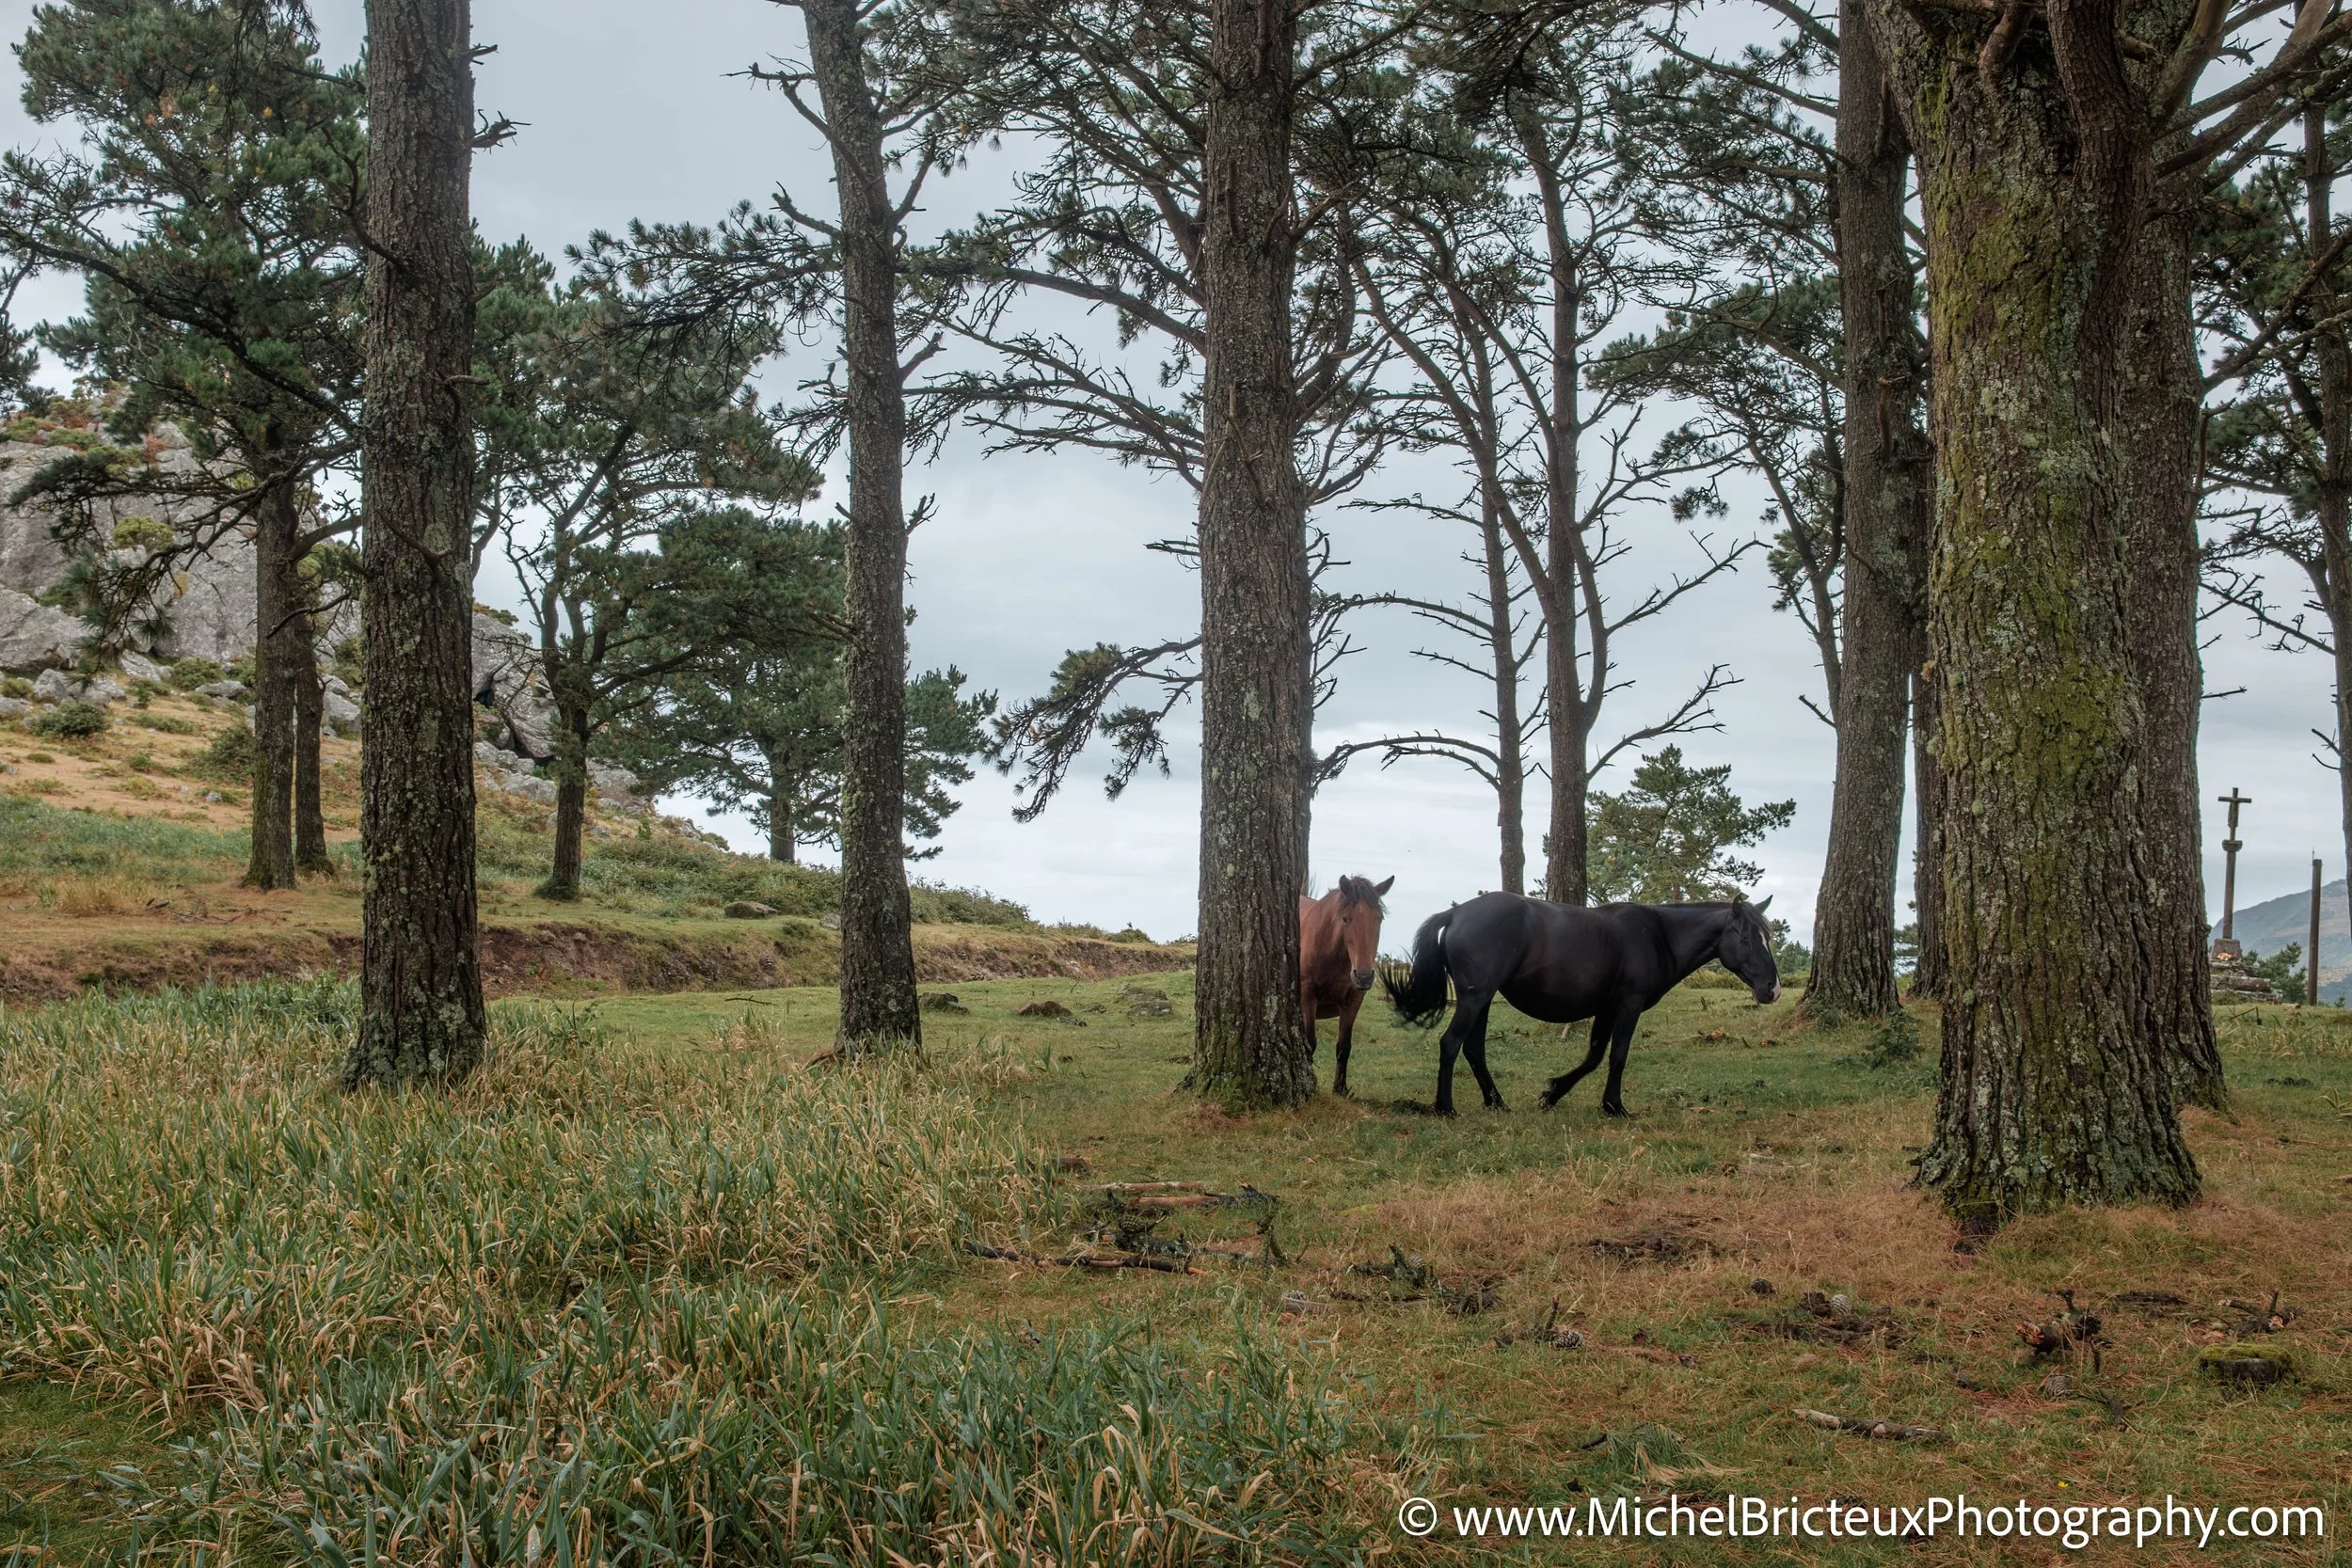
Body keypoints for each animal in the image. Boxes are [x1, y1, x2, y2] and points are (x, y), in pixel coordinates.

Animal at [1301, 874, 1393, 1096]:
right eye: (1346, 918)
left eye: (1379, 918)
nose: (1364, 976)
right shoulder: (1308, 996)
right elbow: (1310, 1043)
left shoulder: (1353, 1001)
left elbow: (1344, 1046)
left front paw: (1340, 1088)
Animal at [1382, 891, 1780, 1116]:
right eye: (1746, 937)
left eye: (1768, 936)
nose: (1772, 989)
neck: (1658, 934)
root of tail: (1457, 913)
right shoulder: (1628, 1005)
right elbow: (1617, 1056)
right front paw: (1614, 1107)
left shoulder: (1606, 1008)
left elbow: (1593, 1056)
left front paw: (1552, 1094)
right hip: (1475, 997)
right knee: (1451, 1043)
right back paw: (1445, 1108)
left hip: (1482, 1000)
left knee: (1474, 1049)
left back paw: (1497, 1103)